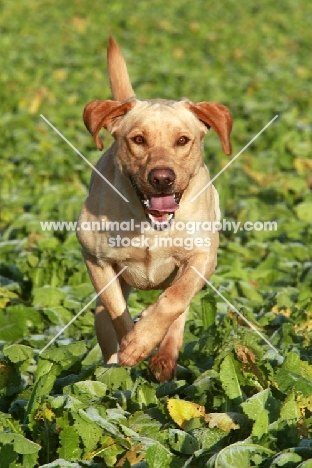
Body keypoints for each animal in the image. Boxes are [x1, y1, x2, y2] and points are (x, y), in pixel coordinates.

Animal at [76, 35, 232, 380]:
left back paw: (164, 359)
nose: (162, 178)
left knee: (179, 310)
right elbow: (118, 311)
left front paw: (146, 340)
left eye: (183, 140)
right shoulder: (96, 260)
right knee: (105, 321)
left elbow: (174, 300)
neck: (151, 223)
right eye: (138, 139)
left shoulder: (202, 257)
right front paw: (133, 347)